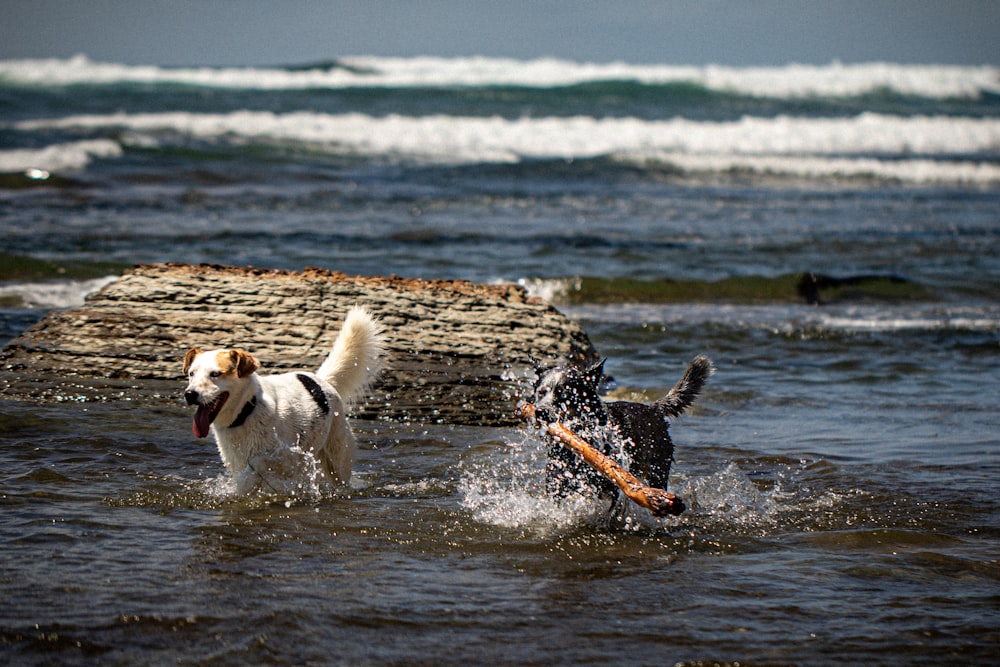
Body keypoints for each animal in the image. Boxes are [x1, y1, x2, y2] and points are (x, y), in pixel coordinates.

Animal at [182, 306, 384, 490]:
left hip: (337, 461)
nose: (189, 394)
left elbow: (259, 462)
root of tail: (322, 380)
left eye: (215, 374)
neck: (248, 411)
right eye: (191, 373)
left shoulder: (292, 456)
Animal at [532, 354, 712, 500]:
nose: (541, 412)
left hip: (658, 469)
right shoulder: (557, 483)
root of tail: (653, 408)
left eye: (565, 395)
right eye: (541, 393)